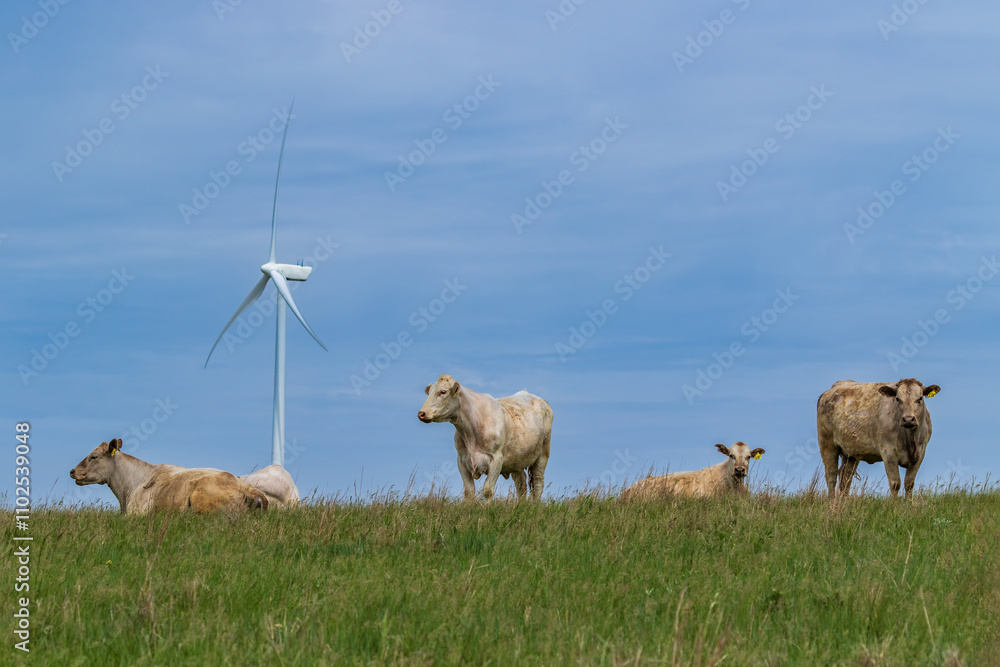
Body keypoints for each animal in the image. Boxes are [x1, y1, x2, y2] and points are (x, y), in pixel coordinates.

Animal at [417, 374, 553, 501]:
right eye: (429, 392)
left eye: (443, 391)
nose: (421, 413)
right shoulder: (461, 460)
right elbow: (469, 491)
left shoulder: (496, 459)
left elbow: (487, 490)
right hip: (517, 459)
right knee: (521, 484)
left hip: (543, 453)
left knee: (538, 482)